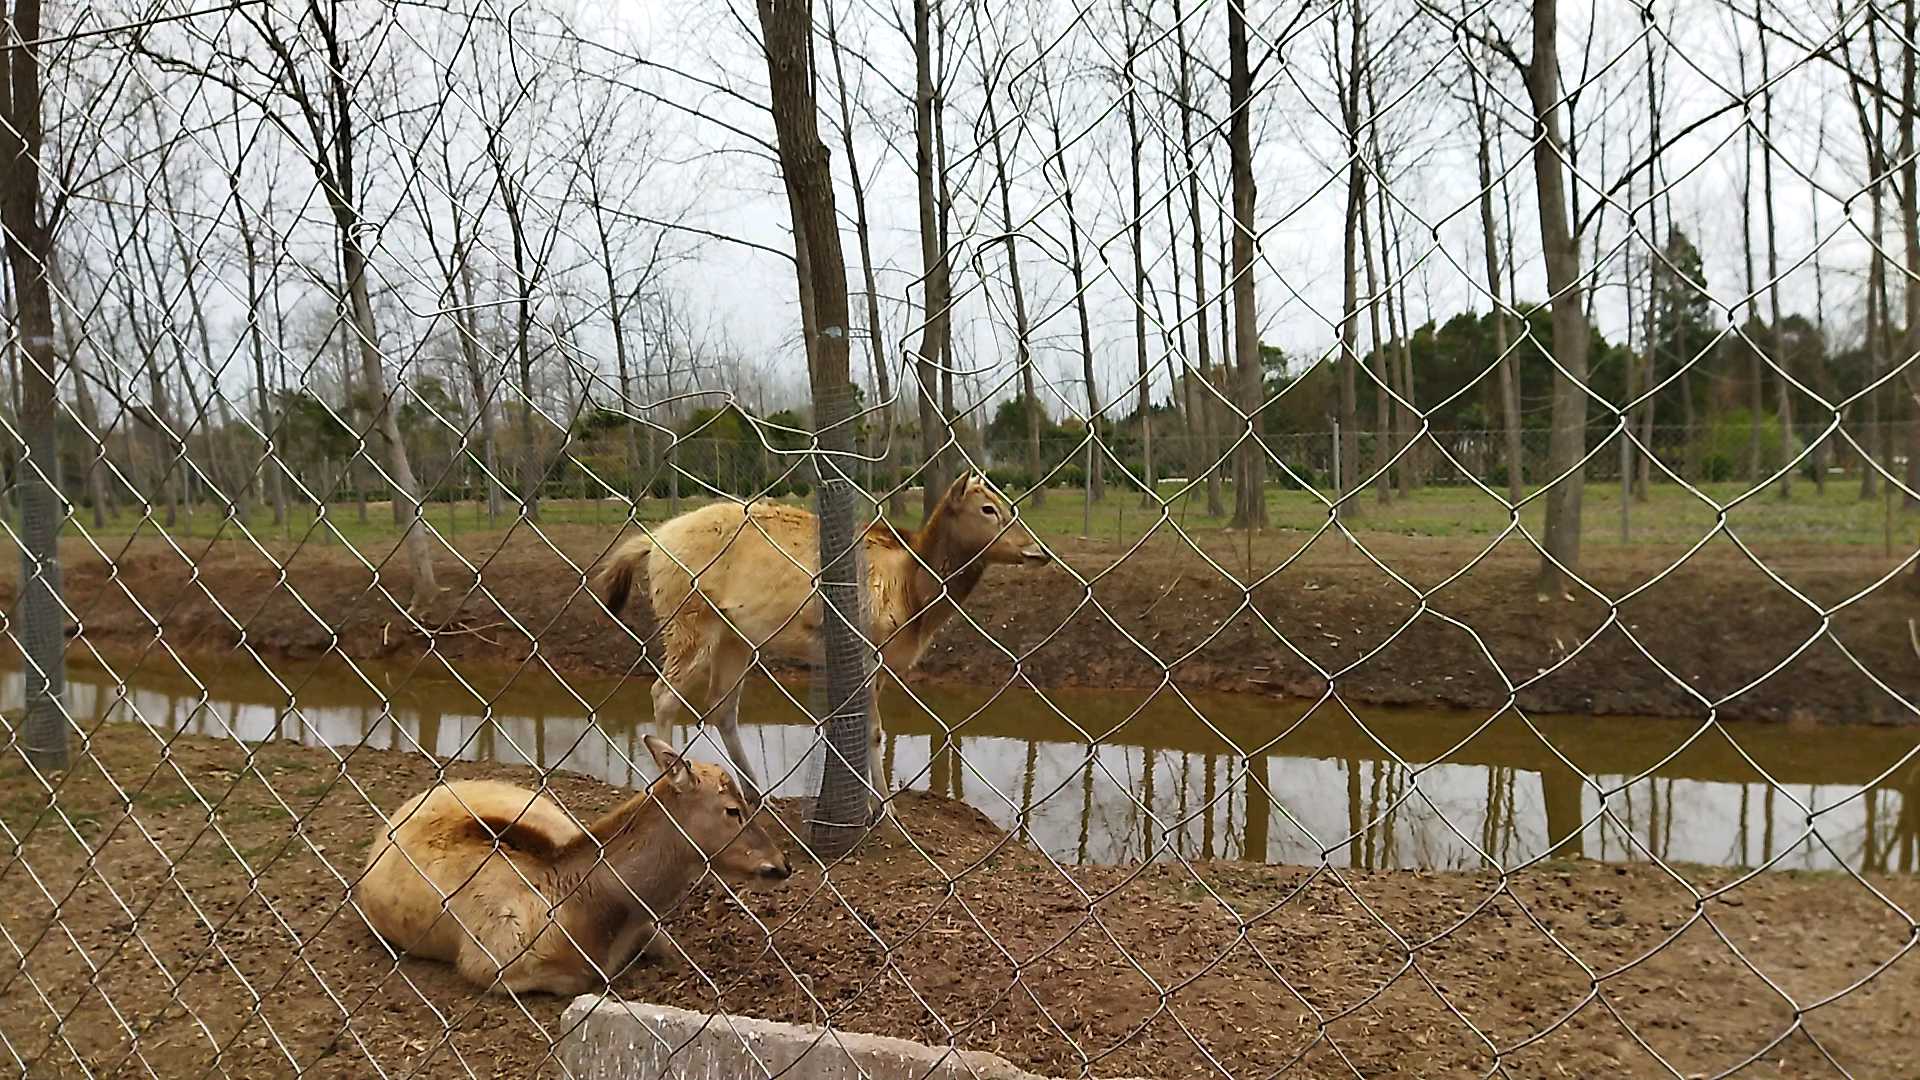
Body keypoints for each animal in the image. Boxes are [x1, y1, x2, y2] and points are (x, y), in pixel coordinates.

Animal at [599, 466, 1052, 803]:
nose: (1038, 551)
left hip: (736, 636)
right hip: (687, 619)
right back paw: (673, 780)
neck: (912, 593)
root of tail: (652, 542)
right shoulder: (868, 647)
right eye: (988, 508)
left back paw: (754, 788)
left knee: (721, 706)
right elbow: (872, 730)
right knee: (663, 692)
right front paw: (880, 808)